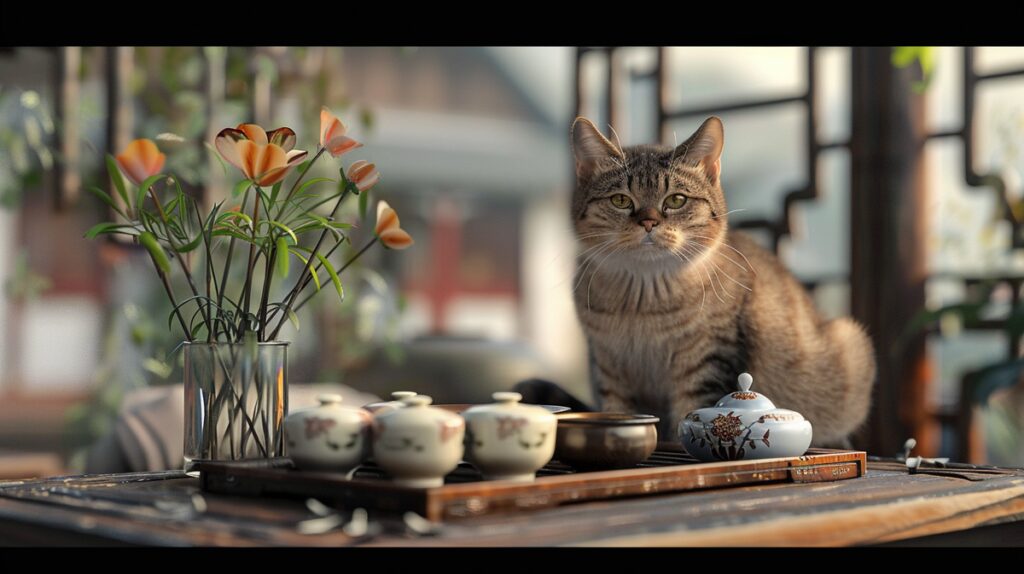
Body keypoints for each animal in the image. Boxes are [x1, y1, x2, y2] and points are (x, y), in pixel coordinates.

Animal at [573, 115, 876, 448]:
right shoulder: (609, 370)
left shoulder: (708, 360)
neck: (643, 301)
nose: (649, 222)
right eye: (620, 200)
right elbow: (617, 411)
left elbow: (689, 415)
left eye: (676, 200)